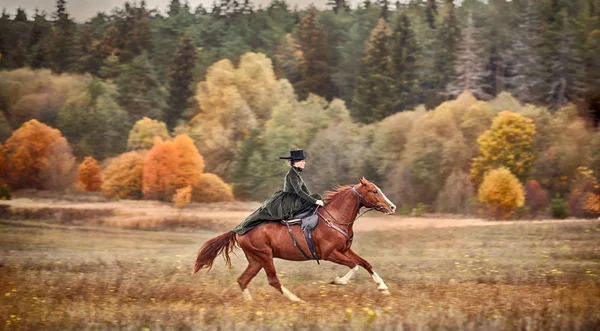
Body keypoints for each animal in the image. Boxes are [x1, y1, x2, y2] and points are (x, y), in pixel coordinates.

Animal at [195, 178, 396, 302]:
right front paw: (337, 281)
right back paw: (297, 301)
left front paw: (383, 287)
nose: (392, 207)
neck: (335, 218)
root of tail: (238, 231)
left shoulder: (345, 250)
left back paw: (250, 304)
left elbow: (365, 263)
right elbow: (354, 266)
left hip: (256, 260)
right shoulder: (330, 254)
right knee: (273, 281)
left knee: (243, 281)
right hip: (265, 257)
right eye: (374, 191)